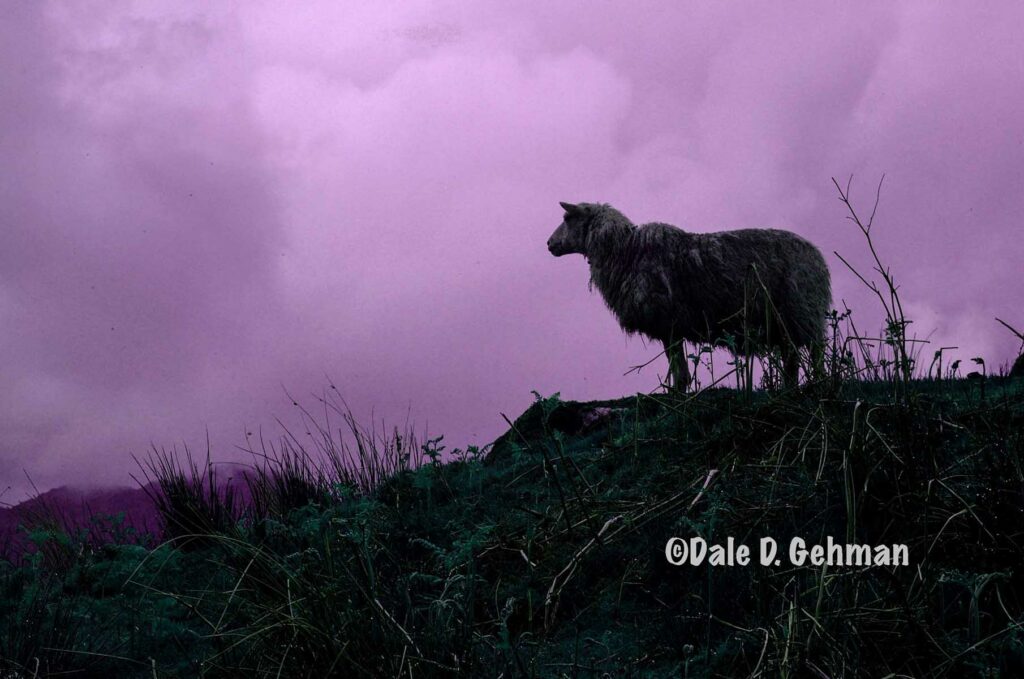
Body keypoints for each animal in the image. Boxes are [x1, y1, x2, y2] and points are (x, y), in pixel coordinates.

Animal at [552, 200, 831, 387]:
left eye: (567, 218)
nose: (549, 243)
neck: (626, 251)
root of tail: (819, 257)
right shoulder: (671, 327)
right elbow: (680, 370)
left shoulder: (668, 323)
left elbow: (680, 373)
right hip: (785, 325)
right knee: (792, 362)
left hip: (802, 313)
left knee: (814, 356)